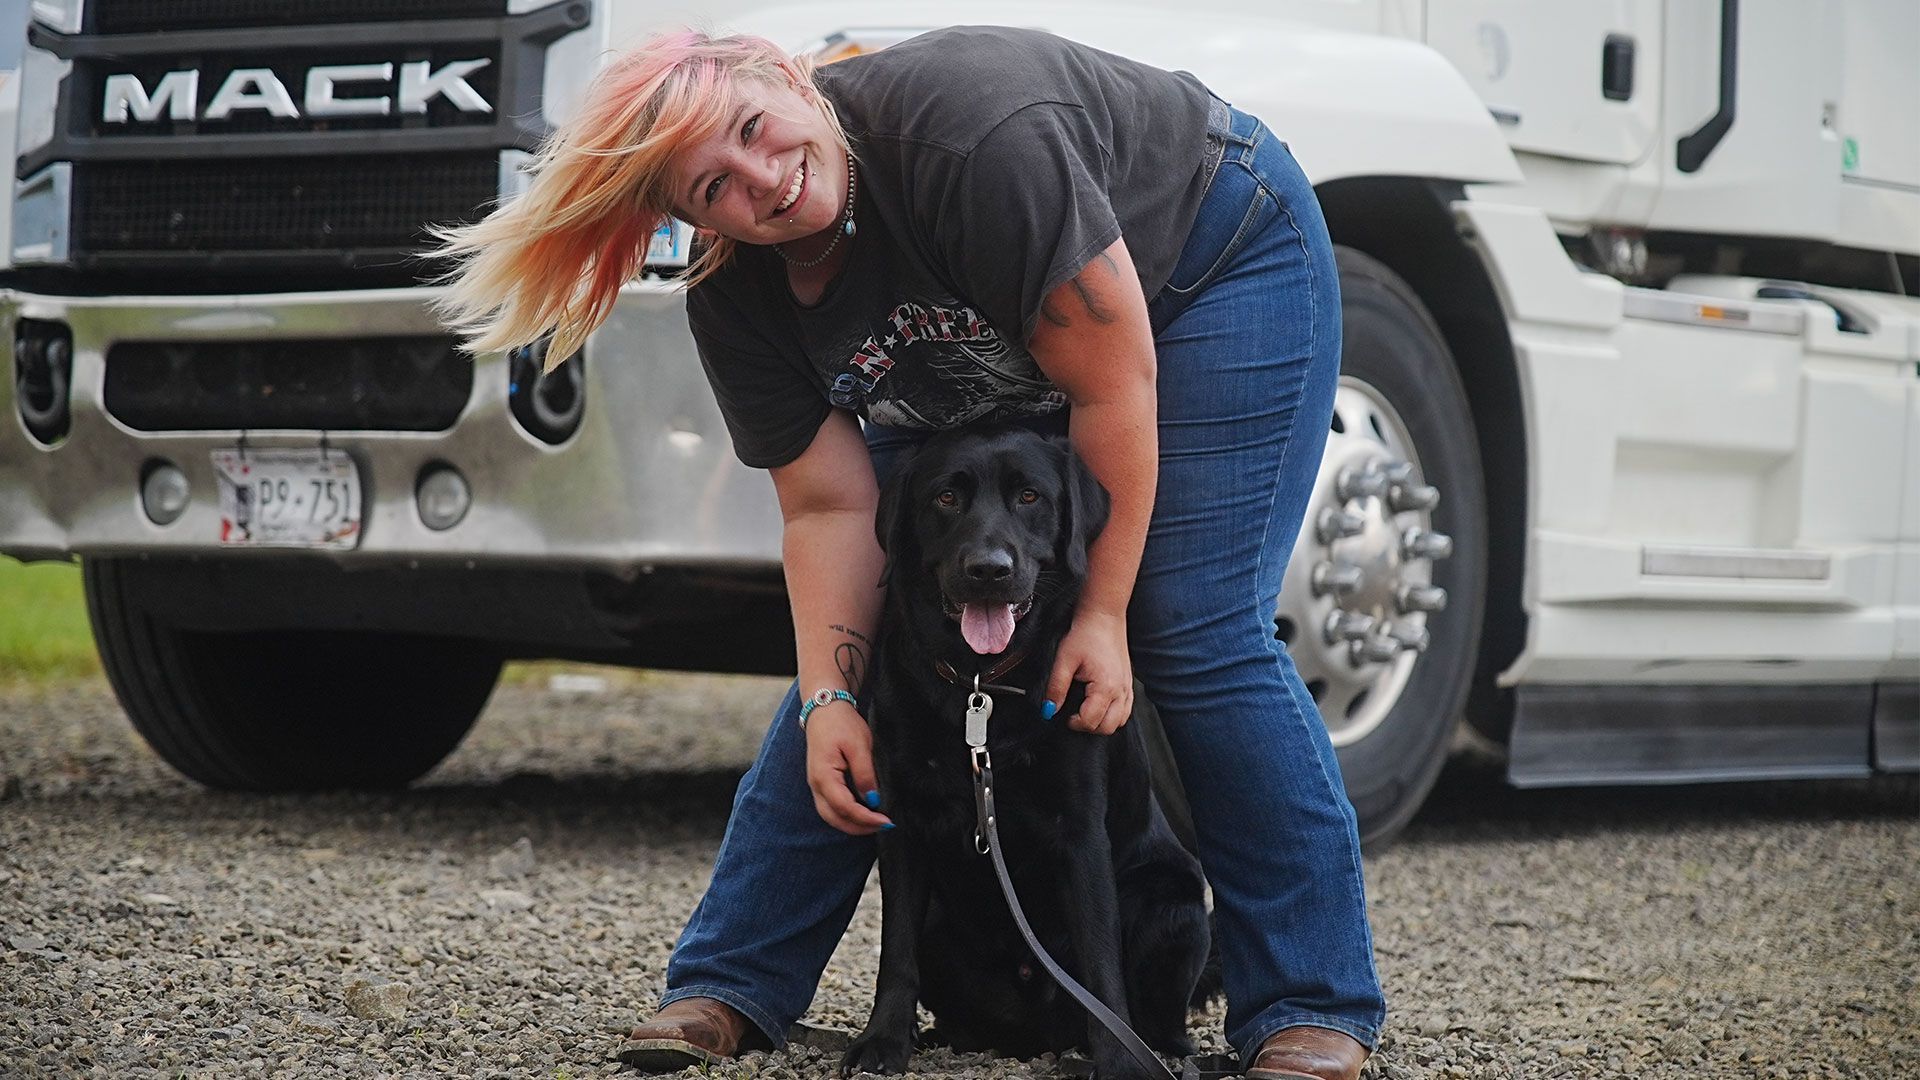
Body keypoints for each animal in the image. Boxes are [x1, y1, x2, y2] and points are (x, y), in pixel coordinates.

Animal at [844, 426, 1205, 1076]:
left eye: (1030, 497)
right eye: (946, 498)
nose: (989, 570)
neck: (979, 686)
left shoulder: (1080, 833)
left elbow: (1099, 961)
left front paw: (1119, 1061)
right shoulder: (902, 823)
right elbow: (895, 948)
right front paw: (883, 1039)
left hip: (1174, 902)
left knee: (1162, 1018)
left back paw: (1153, 1051)